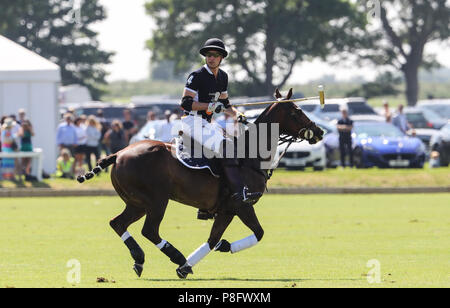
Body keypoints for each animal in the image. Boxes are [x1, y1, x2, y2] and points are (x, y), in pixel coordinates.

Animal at [77, 89, 324, 280]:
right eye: (296, 111)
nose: (319, 131)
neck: (249, 155)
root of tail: (118, 154)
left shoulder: (226, 210)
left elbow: (213, 240)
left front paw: (191, 264)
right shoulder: (241, 205)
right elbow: (258, 233)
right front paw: (207, 254)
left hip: (136, 202)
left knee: (117, 223)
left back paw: (140, 259)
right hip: (156, 200)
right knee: (149, 230)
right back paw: (175, 256)